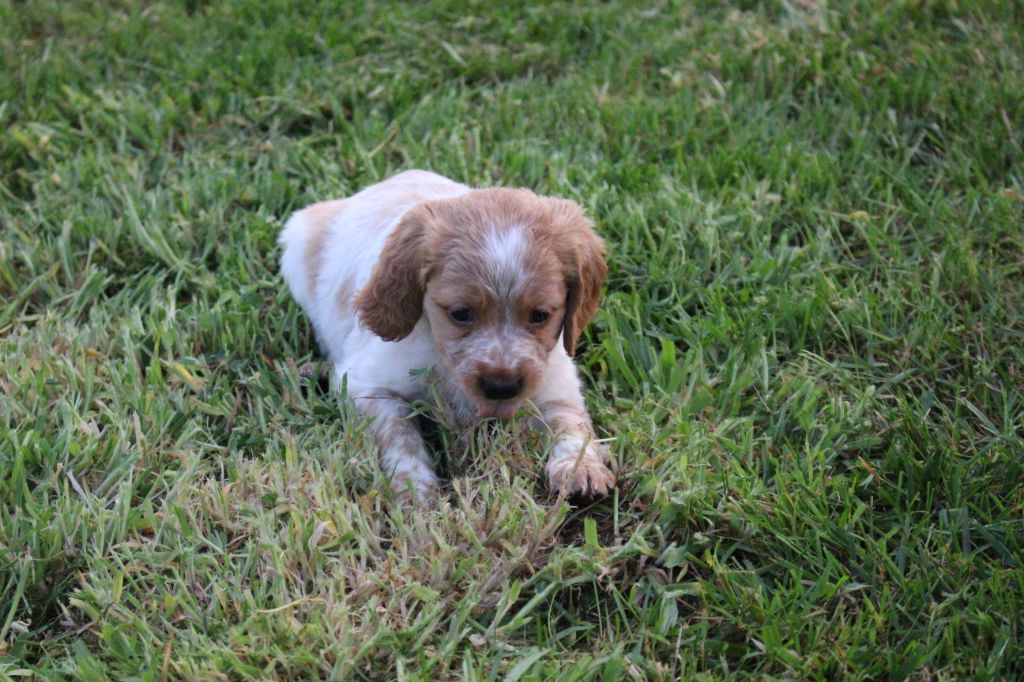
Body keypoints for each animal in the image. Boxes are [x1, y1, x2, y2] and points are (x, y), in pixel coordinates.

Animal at [280, 168, 610, 499]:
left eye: (540, 315)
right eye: (460, 313)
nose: (501, 387)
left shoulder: (556, 381)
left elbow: (572, 423)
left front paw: (581, 468)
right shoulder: (365, 386)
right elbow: (399, 434)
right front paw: (414, 485)